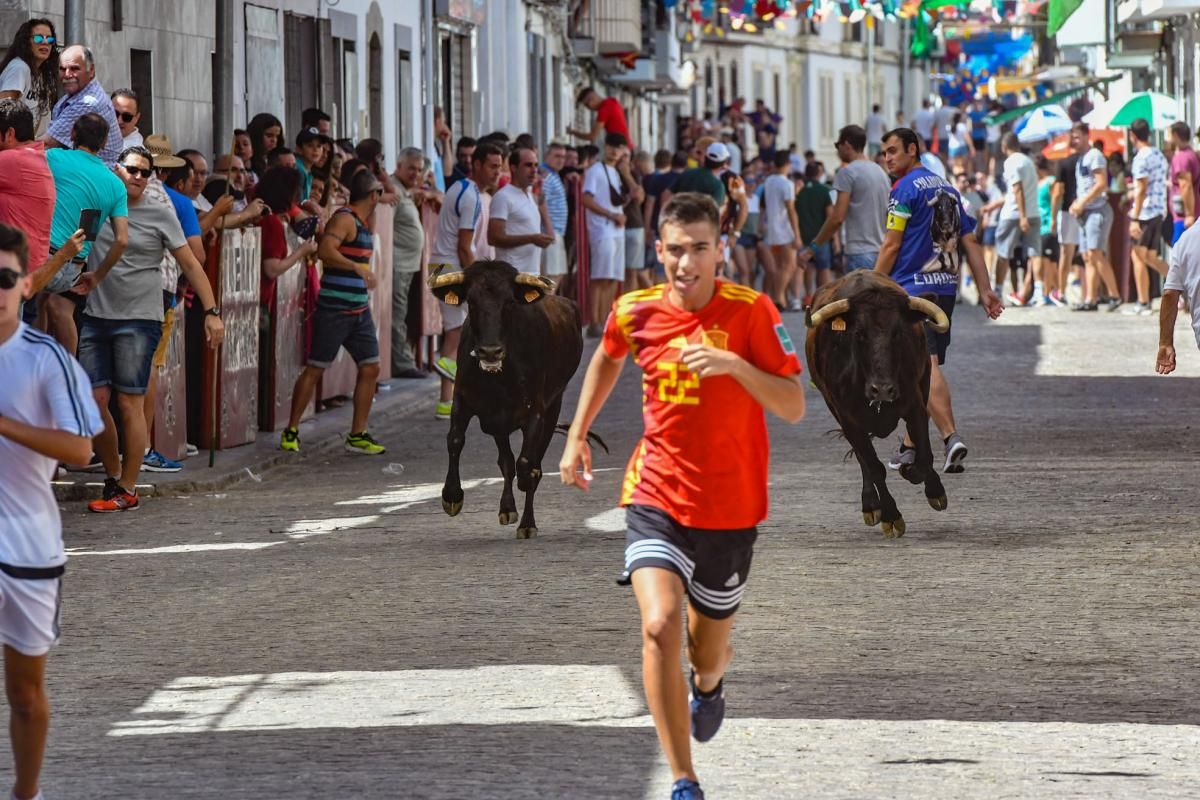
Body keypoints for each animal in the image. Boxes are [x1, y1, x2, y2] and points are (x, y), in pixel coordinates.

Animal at [432, 260, 585, 542]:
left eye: (510, 303)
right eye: (471, 303)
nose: (490, 351)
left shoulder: (536, 412)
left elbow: (527, 464)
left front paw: (527, 490)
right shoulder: (463, 400)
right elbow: (455, 441)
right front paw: (452, 497)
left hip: (552, 409)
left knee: (531, 463)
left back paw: (526, 523)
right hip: (498, 423)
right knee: (505, 463)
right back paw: (507, 509)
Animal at [801, 268, 950, 537]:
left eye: (898, 333)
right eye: (859, 334)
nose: (882, 389)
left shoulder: (915, 405)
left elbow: (924, 457)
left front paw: (926, 484)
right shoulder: (849, 420)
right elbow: (873, 466)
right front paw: (891, 516)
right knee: (865, 462)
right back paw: (870, 504)